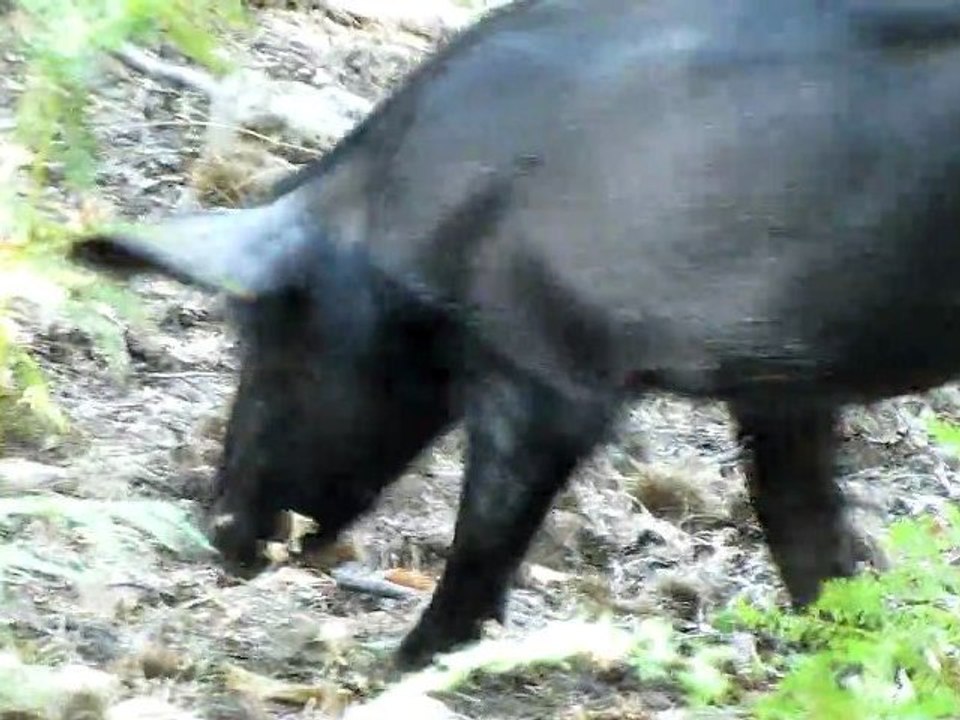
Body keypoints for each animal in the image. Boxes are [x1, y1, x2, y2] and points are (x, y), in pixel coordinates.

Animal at [70, 0, 960, 670]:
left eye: (270, 339)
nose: (218, 530)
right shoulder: (779, 384)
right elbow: (800, 521)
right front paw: (854, 659)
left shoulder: (548, 369)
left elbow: (488, 530)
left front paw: (400, 665)